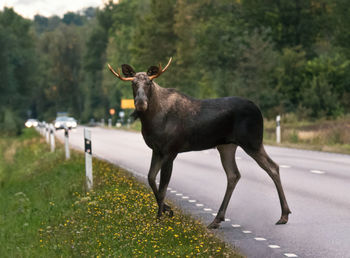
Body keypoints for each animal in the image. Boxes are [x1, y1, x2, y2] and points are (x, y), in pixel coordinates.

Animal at [108, 58, 292, 228]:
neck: (151, 120)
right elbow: (151, 178)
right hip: (226, 146)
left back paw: (284, 215)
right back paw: (217, 219)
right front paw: (166, 210)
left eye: (149, 82)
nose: (141, 103)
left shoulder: (170, 151)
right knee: (234, 174)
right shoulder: (157, 150)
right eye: (133, 83)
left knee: (272, 167)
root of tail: (259, 109)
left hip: (252, 142)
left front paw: (160, 218)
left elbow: (163, 186)